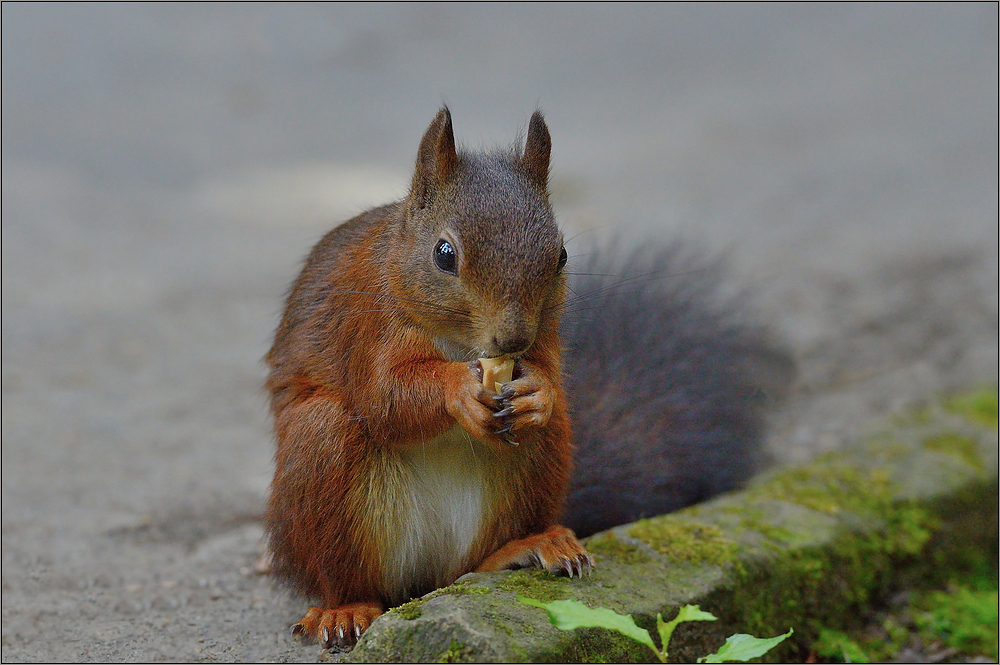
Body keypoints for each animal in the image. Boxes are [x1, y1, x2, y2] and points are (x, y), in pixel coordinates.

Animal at [262, 106, 792, 644]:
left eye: (561, 255)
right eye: (444, 254)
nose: (512, 339)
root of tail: (422, 582)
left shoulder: (546, 336)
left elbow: (551, 375)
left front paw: (537, 392)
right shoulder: (366, 327)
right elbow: (384, 399)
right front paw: (457, 388)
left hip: (543, 458)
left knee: (474, 562)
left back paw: (526, 547)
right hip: (321, 456)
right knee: (346, 561)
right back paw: (346, 609)